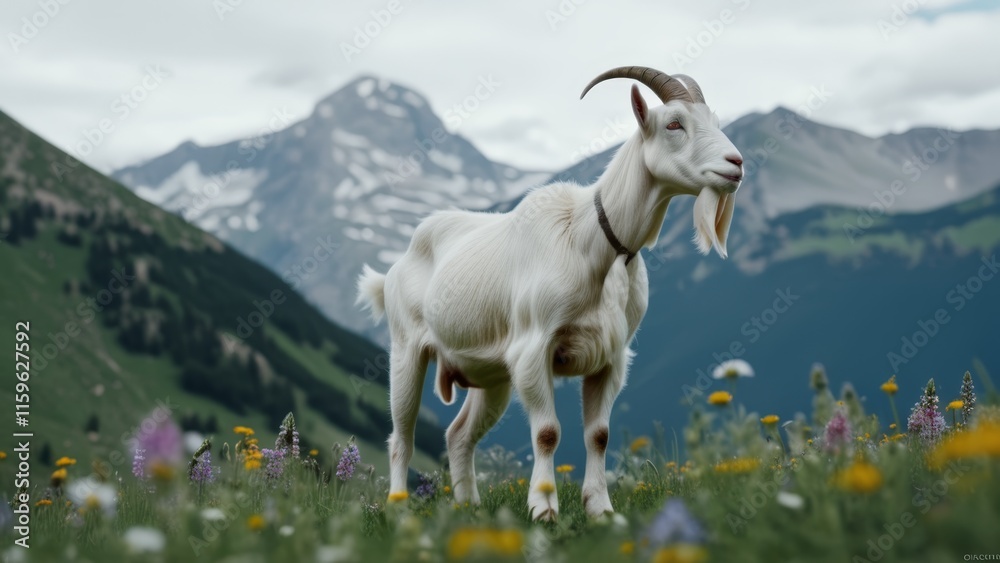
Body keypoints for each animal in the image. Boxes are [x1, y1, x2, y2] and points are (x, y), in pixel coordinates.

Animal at [357, 66, 744, 520]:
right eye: (674, 124)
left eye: (714, 121)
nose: (736, 164)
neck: (591, 240)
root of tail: (395, 269)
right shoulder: (533, 347)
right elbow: (546, 432)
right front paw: (543, 508)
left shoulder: (611, 358)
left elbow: (599, 435)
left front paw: (600, 509)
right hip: (407, 351)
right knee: (401, 437)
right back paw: (398, 507)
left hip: (491, 376)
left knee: (458, 435)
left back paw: (470, 507)